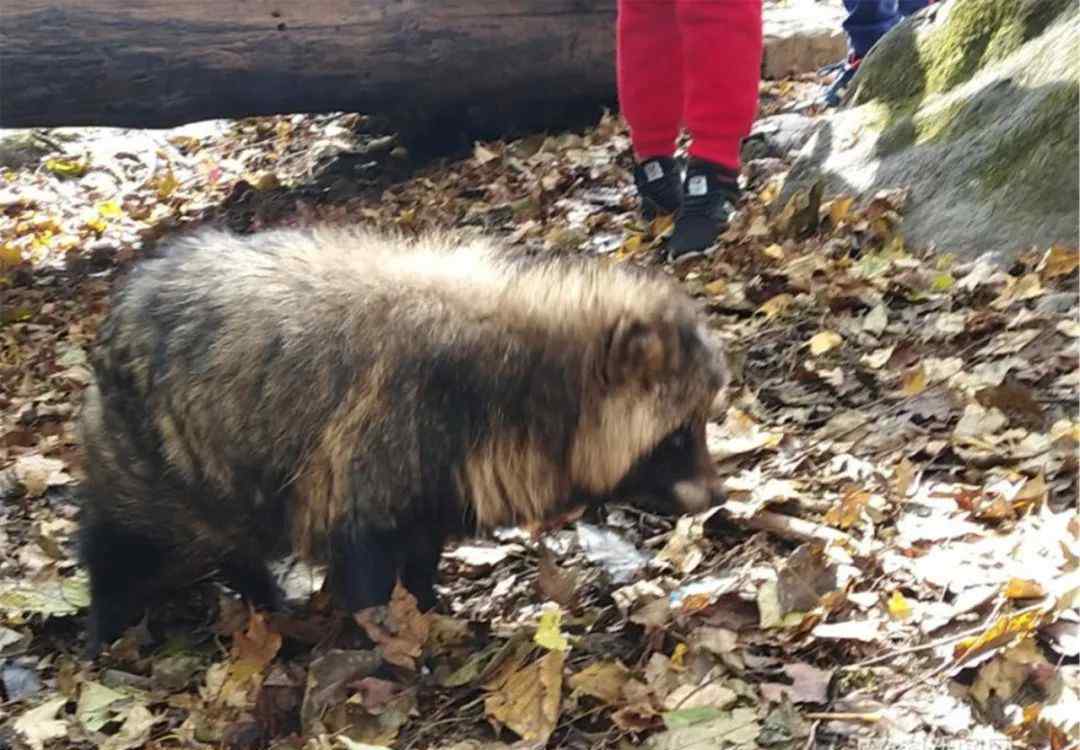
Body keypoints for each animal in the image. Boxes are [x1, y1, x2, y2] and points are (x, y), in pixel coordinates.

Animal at [78, 225, 725, 657]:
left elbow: (420, 547)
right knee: (125, 537)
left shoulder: (438, 471)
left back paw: (259, 590)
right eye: (677, 436)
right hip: (153, 458)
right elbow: (367, 568)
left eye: (703, 422)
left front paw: (426, 602)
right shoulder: (376, 442)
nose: (720, 499)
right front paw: (387, 646)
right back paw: (109, 617)